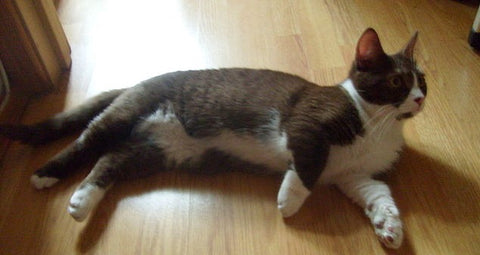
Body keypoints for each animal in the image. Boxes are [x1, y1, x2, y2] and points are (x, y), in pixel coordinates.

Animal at [0, 28, 426, 249]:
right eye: (397, 82)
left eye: (423, 80)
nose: (420, 98)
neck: (379, 125)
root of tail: (137, 83)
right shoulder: (306, 121)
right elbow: (307, 163)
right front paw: (288, 200)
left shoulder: (354, 176)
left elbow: (378, 193)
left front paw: (390, 227)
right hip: (129, 114)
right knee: (88, 140)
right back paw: (46, 175)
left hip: (156, 153)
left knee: (110, 160)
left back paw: (81, 202)